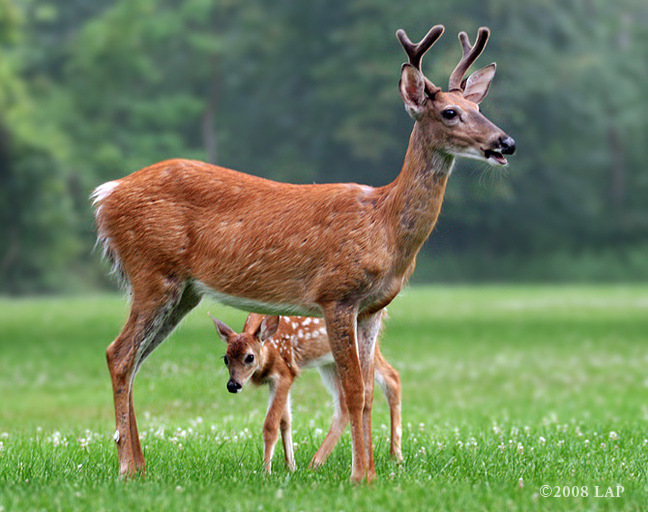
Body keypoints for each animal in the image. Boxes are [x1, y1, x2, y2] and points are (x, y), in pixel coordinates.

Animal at [210, 310, 402, 474]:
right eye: (226, 358)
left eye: (250, 357)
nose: (233, 385)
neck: (270, 350)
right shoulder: (280, 379)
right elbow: (285, 420)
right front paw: (291, 466)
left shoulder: (284, 373)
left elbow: (271, 425)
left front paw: (266, 471)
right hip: (329, 362)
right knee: (345, 403)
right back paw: (316, 463)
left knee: (392, 378)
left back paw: (395, 455)